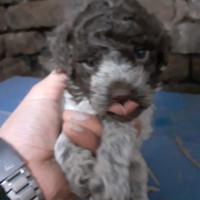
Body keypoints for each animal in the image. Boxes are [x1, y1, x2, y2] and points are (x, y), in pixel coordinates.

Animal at [51, 0, 170, 199]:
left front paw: (109, 181)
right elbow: (62, 142)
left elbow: (117, 138)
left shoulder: (135, 119)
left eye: (140, 53)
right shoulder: (72, 113)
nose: (121, 95)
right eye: (89, 63)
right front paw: (78, 168)